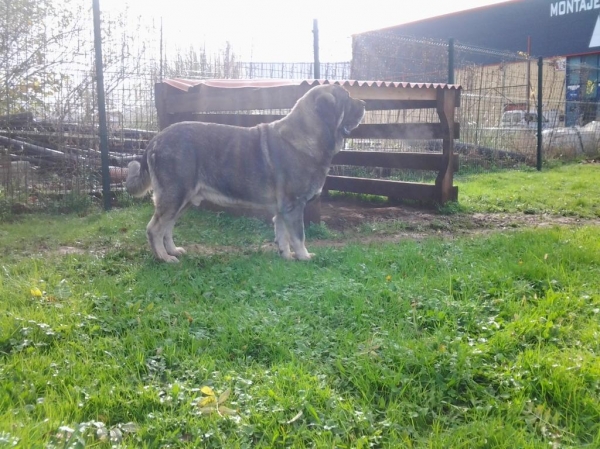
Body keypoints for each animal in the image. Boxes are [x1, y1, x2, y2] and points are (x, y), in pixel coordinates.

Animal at [125, 83, 366, 262]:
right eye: (347, 98)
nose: (364, 102)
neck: (308, 135)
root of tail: (156, 138)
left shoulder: (283, 208)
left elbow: (283, 234)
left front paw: (286, 256)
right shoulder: (294, 205)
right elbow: (298, 235)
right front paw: (304, 257)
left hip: (181, 200)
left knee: (167, 227)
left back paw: (173, 251)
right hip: (174, 196)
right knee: (154, 228)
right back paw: (164, 258)